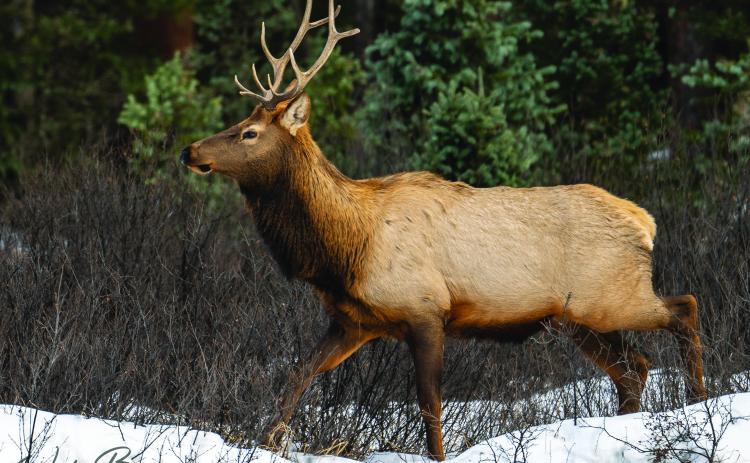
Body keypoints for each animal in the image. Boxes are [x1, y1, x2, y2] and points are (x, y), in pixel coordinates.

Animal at [180, 1, 708, 460]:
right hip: (578, 318)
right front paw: (266, 443)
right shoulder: (354, 321)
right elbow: (297, 376)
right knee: (634, 367)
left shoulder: (426, 309)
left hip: (610, 296)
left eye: (248, 133)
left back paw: (698, 402)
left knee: (683, 307)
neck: (344, 250)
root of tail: (645, 221)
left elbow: (430, 404)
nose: (189, 150)